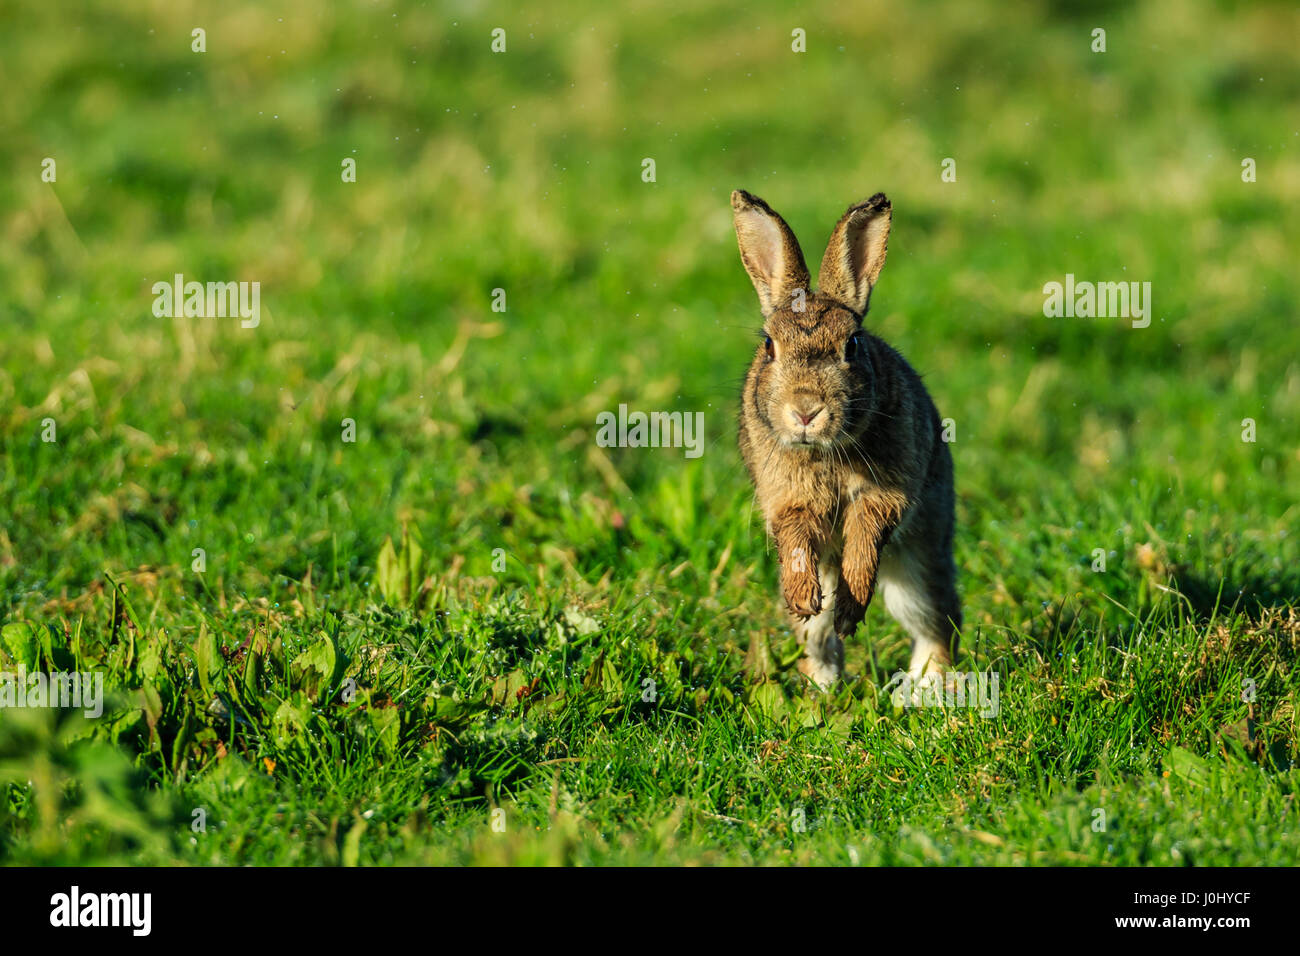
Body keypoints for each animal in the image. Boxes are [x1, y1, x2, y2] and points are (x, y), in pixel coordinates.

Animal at [732, 189, 961, 691]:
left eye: (852, 345)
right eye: (769, 346)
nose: (805, 409)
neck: (825, 452)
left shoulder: (887, 493)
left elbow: (867, 533)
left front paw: (852, 607)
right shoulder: (787, 497)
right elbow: (796, 536)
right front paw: (803, 595)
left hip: (917, 571)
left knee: (936, 623)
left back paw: (923, 691)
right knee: (817, 639)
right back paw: (823, 687)